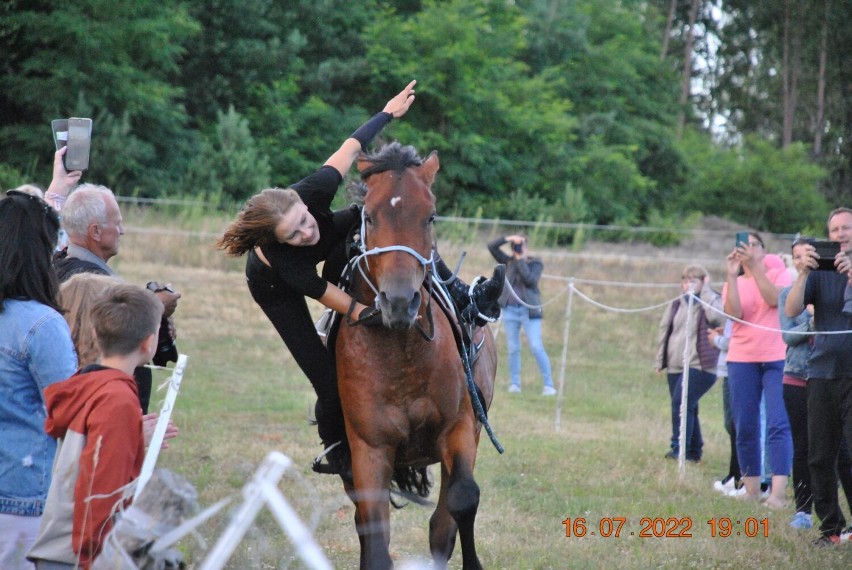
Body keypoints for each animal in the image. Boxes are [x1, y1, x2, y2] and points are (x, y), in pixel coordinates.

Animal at [336, 142, 500, 568]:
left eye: (429, 216)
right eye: (370, 216)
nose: (398, 302)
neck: (402, 360)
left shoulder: (459, 430)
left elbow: (461, 502)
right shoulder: (370, 449)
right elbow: (372, 530)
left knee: (444, 521)